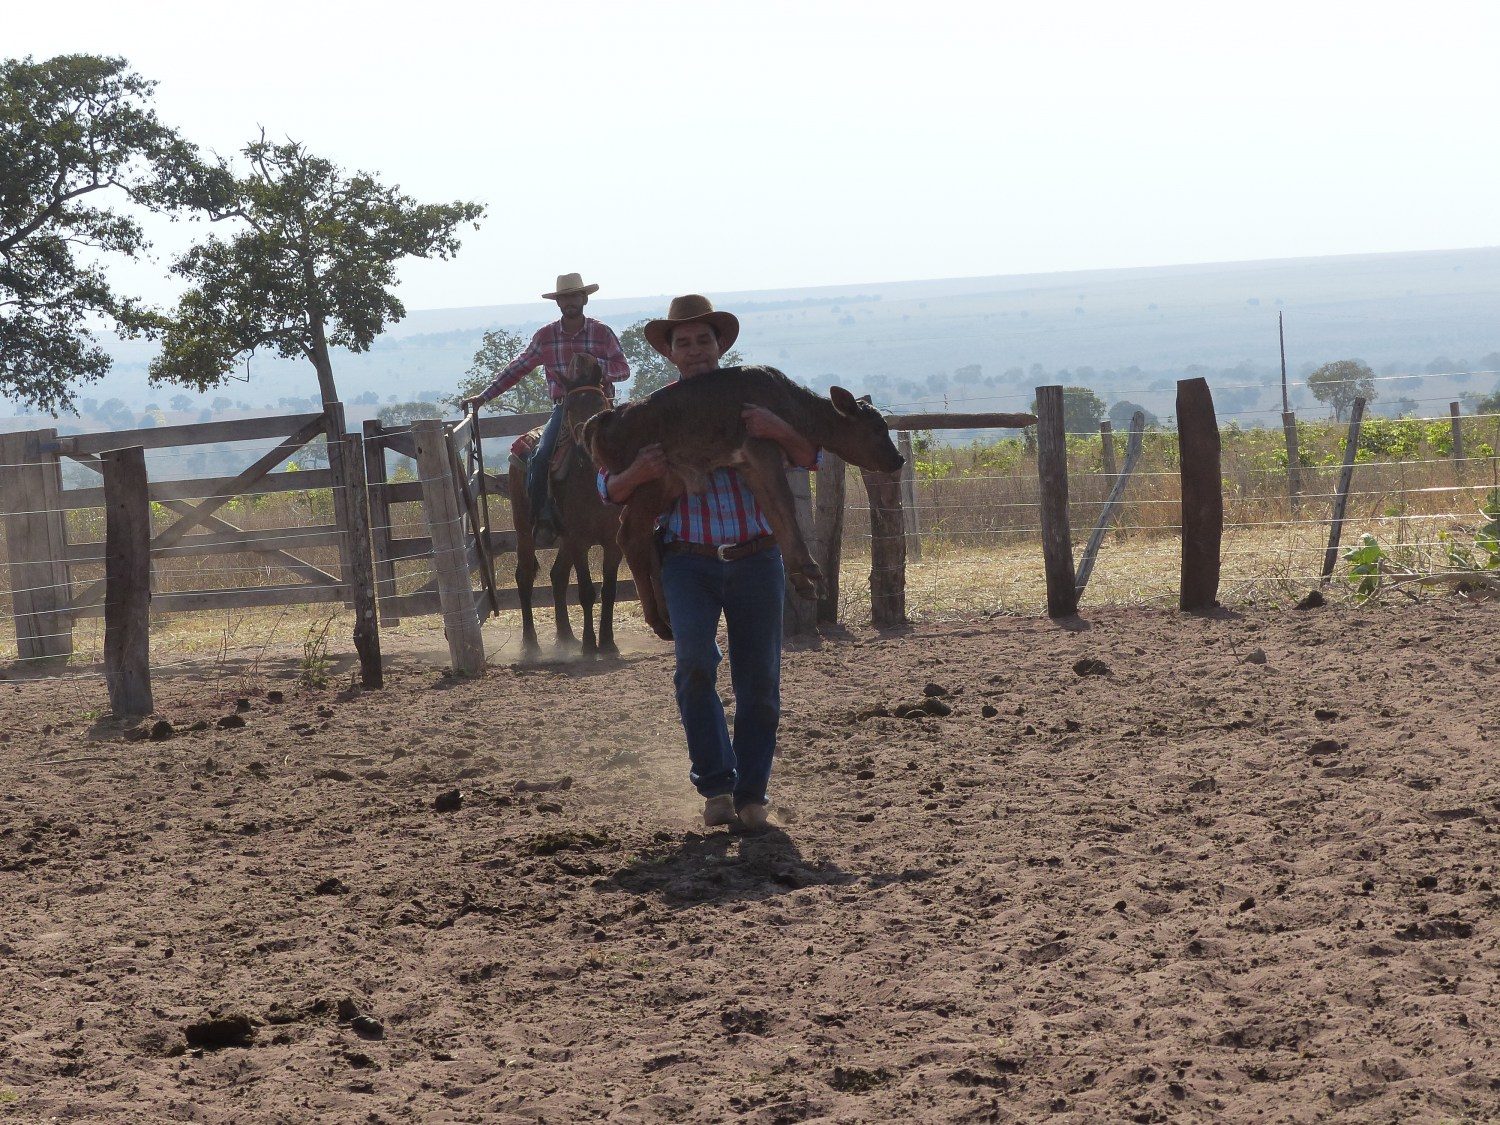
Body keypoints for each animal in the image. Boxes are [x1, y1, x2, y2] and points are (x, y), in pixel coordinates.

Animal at [504, 357, 621, 660]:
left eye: (600, 401)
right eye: (569, 406)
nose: (586, 436)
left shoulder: (612, 543)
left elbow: (609, 591)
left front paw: (608, 644)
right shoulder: (579, 541)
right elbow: (586, 591)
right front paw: (590, 646)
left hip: (564, 539)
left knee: (557, 576)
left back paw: (566, 638)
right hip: (524, 529)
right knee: (524, 577)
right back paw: (531, 645)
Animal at [576, 366, 900, 639]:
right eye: (877, 428)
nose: (898, 459)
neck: (790, 404)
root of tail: (604, 420)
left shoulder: (750, 465)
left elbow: (775, 510)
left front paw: (801, 577)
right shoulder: (761, 449)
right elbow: (784, 504)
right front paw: (809, 570)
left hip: (668, 484)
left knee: (643, 537)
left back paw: (666, 615)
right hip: (652, 478)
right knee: (629, 535)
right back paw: (656, 619)